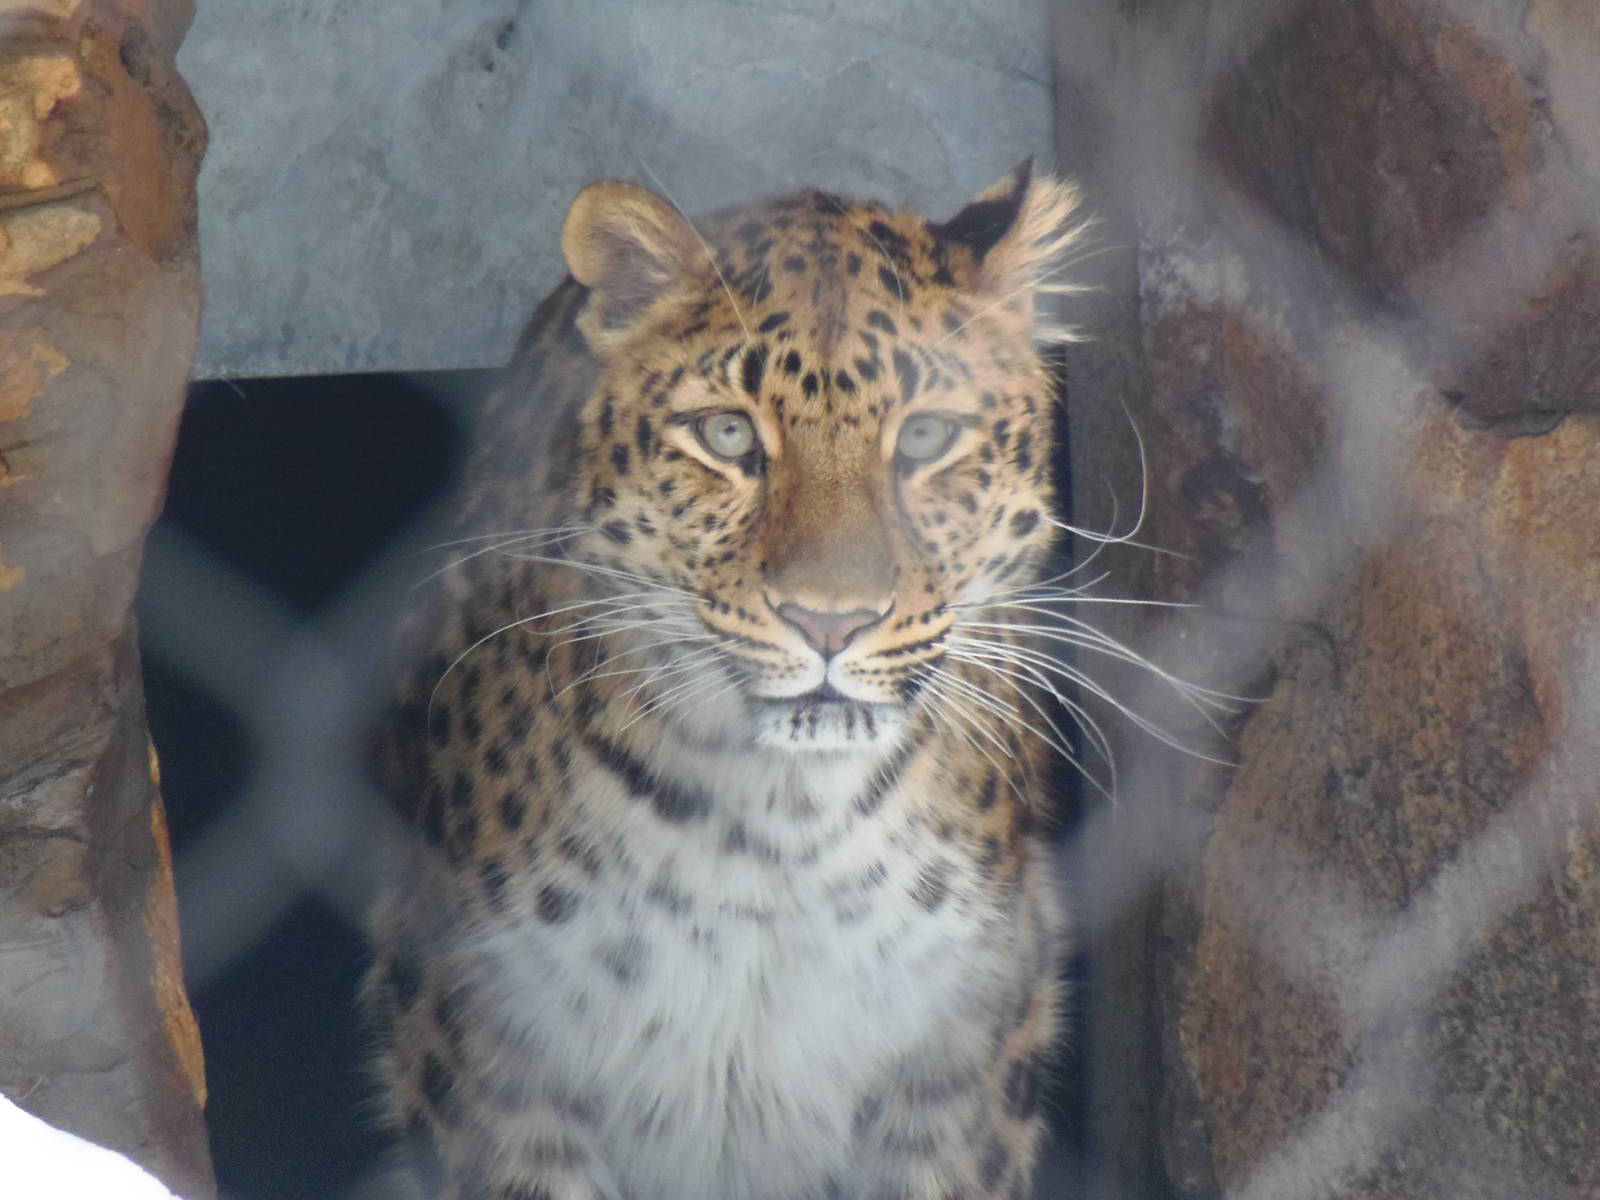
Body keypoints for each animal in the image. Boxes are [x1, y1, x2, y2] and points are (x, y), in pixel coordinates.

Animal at [366, 160, 1090, 1200]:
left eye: (924, 440)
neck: (784, 826)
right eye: (726, 436)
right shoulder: (485, 1047)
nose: (831, 620)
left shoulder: (966, 1055)